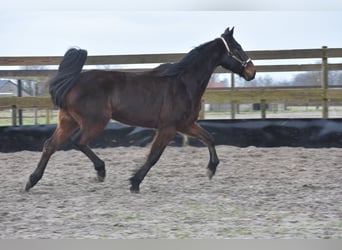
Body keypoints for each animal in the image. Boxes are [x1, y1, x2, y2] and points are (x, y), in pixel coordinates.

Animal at [24, 27, 254, 192]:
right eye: (237, 48)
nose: (252, 72)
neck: (183, 82)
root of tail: (73, 80)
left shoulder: (186, 124)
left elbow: (210, 138)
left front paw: (211, 170)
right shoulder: (168, 128)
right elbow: (154, 156)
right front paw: (134, 182)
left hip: (68, 121)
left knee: (50, 145)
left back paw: (31, 181)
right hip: (95, 122)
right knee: (78, 142)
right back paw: (101, 171)